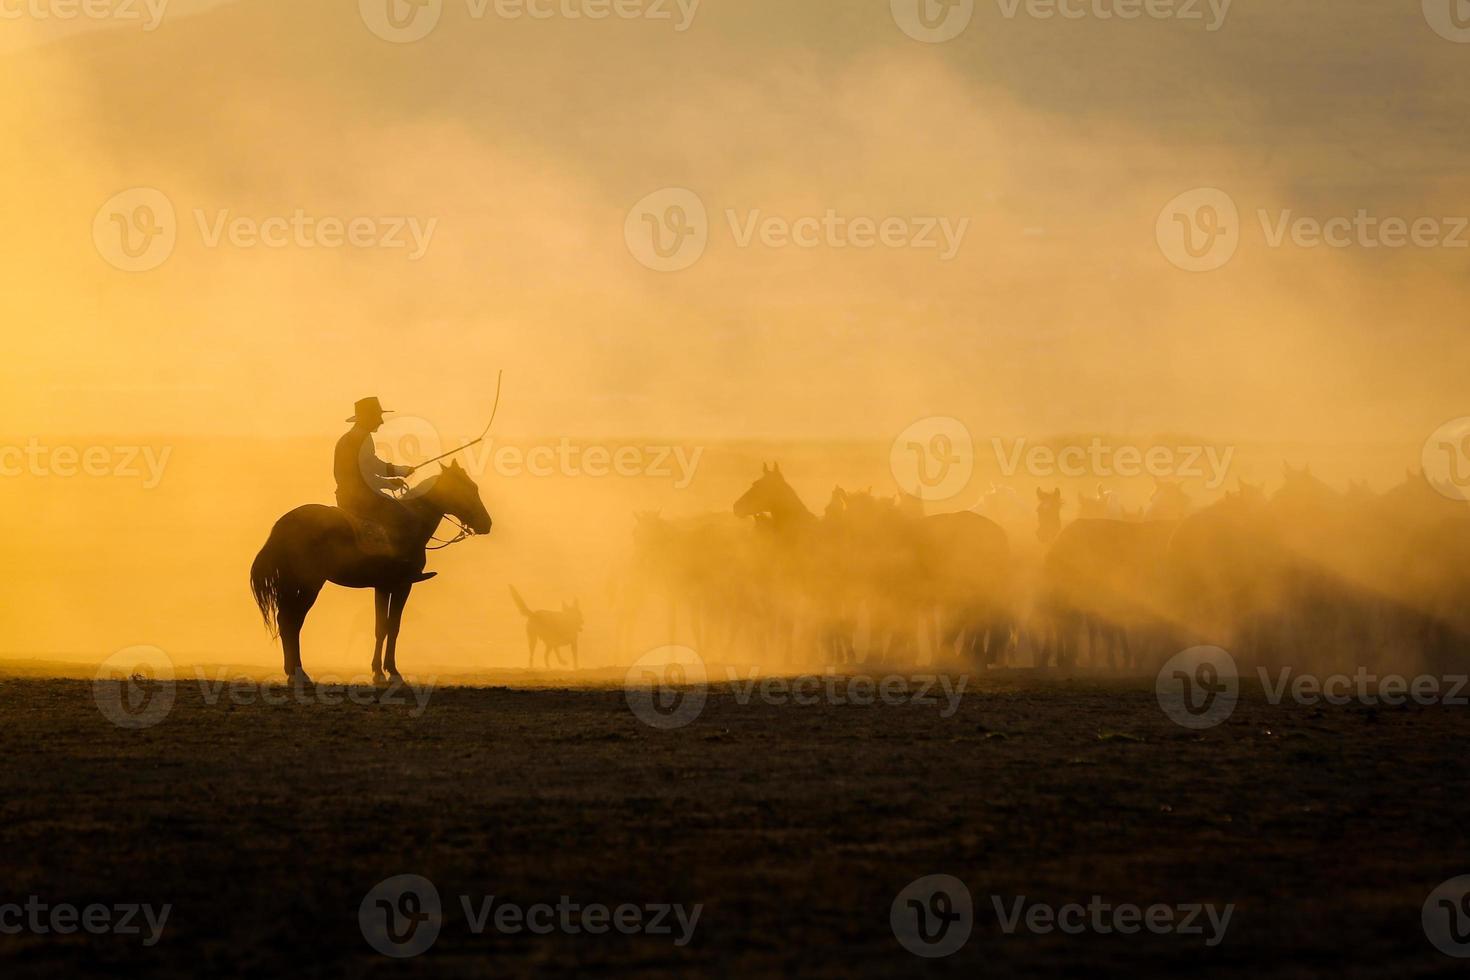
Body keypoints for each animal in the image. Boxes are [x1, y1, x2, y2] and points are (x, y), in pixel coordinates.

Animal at [246, 461, 488, 681]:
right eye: (468, 488)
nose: (487, 523)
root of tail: (283, 524)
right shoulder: (402, 585)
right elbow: (392, 626)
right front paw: (391, 671)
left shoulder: (382, 587)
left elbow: (381, 627)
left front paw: (378, 670)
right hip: (309, 584)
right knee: (292, 620)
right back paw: (299, 673)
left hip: (293, 583)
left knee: (286, 620)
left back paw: (293, 672)